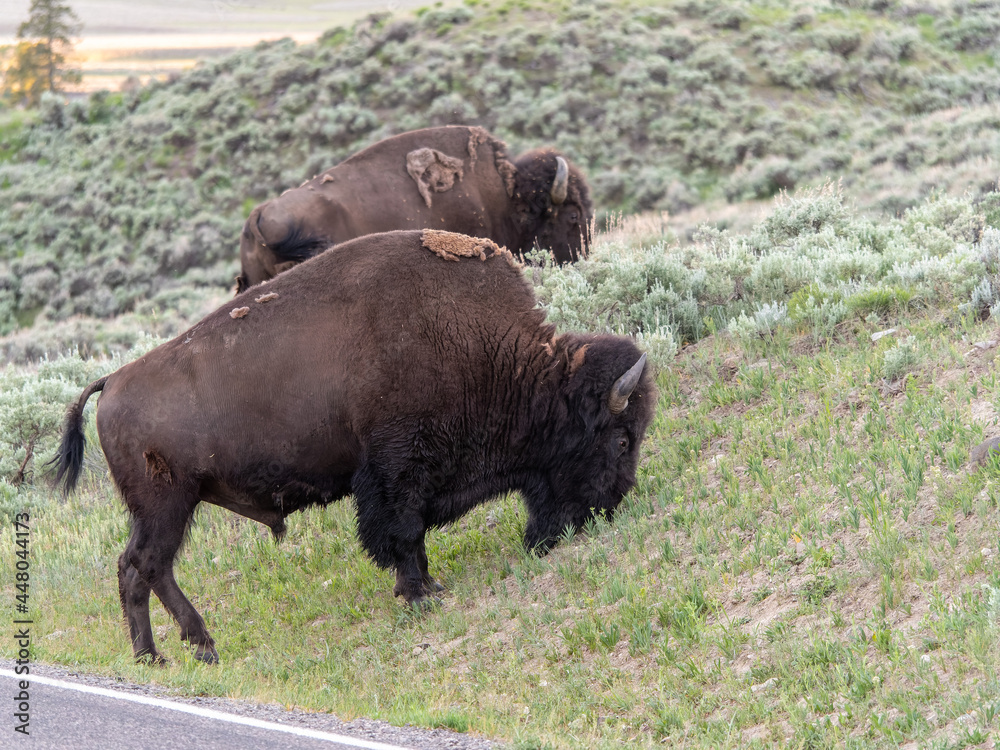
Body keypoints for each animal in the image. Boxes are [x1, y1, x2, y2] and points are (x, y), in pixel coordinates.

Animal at [54, 228, 652, 664]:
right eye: (621, 437)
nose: (611, 506)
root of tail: (113, 381)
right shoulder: (397, 469)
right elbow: (403, 532)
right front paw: (419, 594)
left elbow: (412, 534)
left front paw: (428, 586)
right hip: (169, 503)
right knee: (150, 564)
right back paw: (201, 646)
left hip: (157, 508)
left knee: (132, 568)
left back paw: (151, 657)